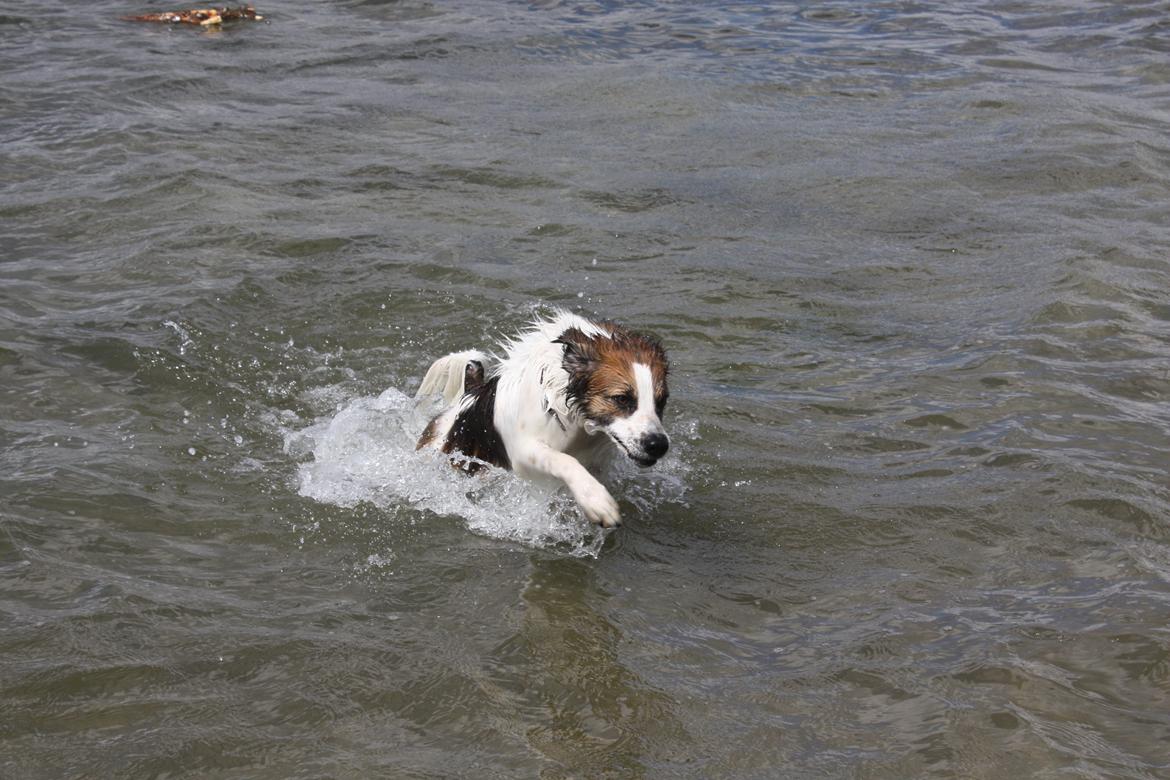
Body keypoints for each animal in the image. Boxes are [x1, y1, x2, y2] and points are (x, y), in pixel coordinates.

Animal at [414, 308, 669, 528]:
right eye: (622, 399)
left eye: (662, 400)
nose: (658, 445)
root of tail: (469, 392)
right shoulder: (522, 452)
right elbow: (563, 460)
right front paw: (596, 500)